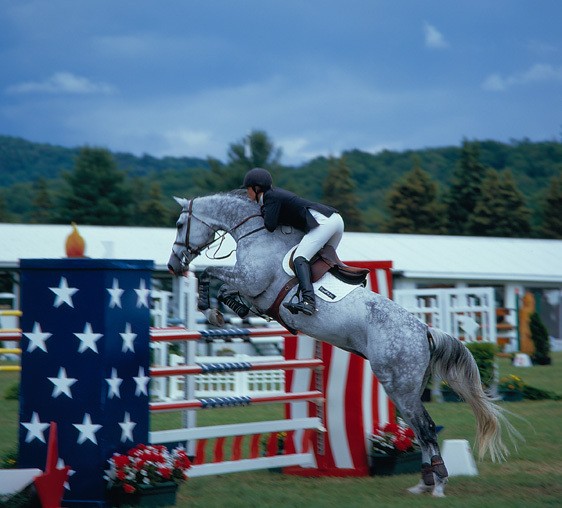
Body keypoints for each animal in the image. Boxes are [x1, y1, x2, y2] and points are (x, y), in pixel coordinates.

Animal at [166, 190, 516, 496]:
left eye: (180, 224)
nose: (172, 265)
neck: (255, 232)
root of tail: (423, 330)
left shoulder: (251, 280)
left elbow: (210, 272)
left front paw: (209, 309)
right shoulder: (251, 289)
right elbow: (225, 287)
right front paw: (228, 309)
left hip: (398, 385)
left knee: (426, 429)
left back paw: (438, 485)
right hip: (406, 387)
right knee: (420, 429)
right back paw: (423, 484)